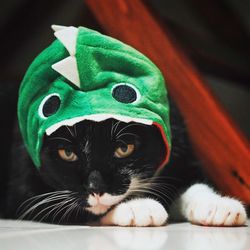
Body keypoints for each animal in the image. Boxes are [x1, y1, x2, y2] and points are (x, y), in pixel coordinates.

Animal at [2, 98, 247, 227]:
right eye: (67, 153)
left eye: (124, 148)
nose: (95, 188)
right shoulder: (23, 189)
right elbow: (65, 208)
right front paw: (138, 207)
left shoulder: (178, 143)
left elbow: (192, 181)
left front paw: (218, 206)